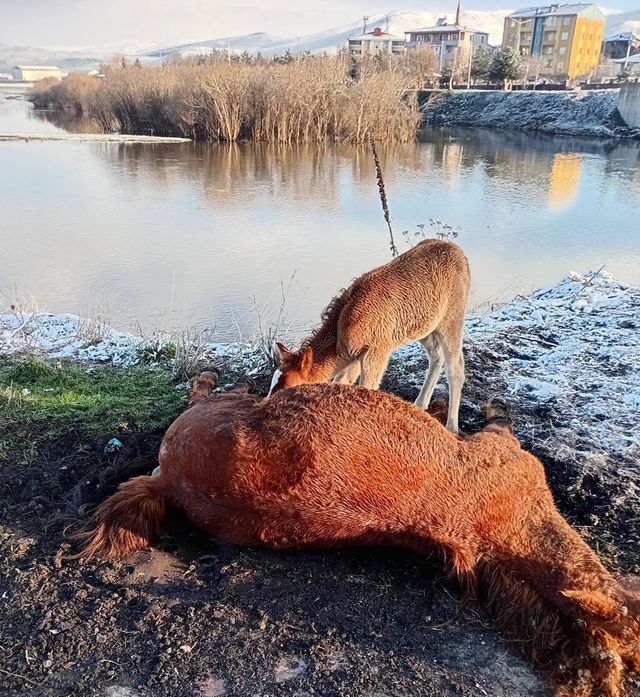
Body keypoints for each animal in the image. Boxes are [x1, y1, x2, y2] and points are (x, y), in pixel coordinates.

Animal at [269, 239, 470, 433]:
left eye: (288, 388)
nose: (269, 407)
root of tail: (457, 251)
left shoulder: (375, 353)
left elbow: (367, 389)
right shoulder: (355, 355)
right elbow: (343, 383)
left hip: (451, 318)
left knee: (455, 368)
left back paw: (452, 426)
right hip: (424, 327)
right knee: (436, 356)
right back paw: (420, 404)